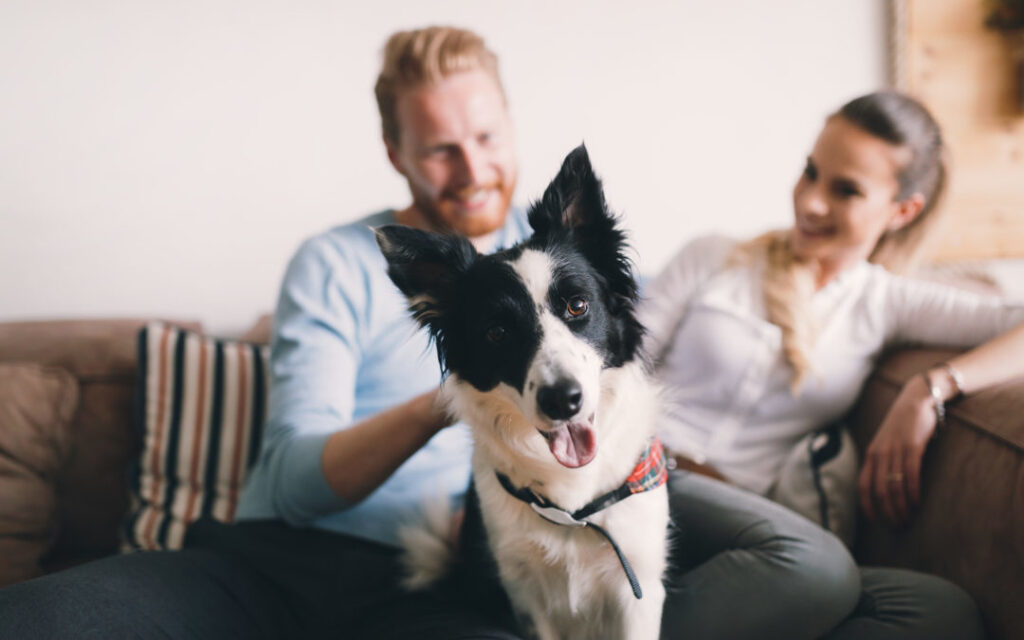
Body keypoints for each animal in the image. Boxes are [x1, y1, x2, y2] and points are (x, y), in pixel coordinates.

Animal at [374, 146, 663, 638]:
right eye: (497, 333)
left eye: (577, 305)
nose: (563, 400)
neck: (573, 504)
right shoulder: (525, 593)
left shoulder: (638, 587)